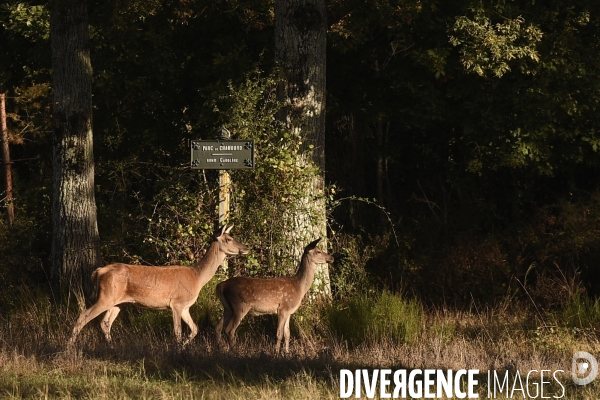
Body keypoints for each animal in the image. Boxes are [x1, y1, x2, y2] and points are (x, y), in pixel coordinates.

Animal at [68, 225, 248, 346]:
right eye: (229, 239)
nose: (246, 248)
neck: (197, 277)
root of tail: (99, 271)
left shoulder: (185, 307)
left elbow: (195, 329)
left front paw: (184, 346)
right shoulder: (176, 303)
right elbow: (178, 331)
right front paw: (178, 349)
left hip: (116, 302)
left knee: (105, 323)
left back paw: (111, 346)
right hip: (106, 296)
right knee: (83, 316)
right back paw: (69, 346)